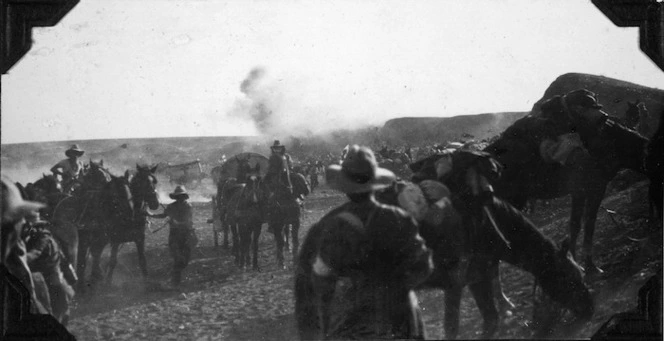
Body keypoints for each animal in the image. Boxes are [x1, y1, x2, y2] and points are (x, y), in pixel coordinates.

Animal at [480, 111, 652, 274]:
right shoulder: (585, 189)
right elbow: (580, 224)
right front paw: (584, 266)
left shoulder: (592, 189)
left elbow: (583, 224)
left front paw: (585, 265)